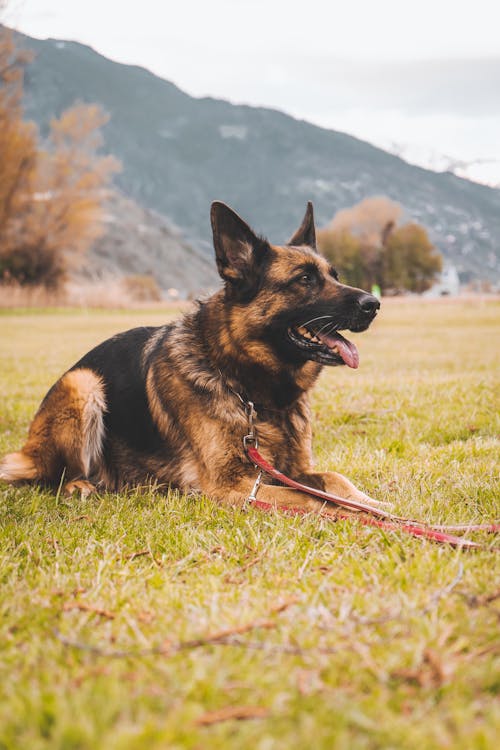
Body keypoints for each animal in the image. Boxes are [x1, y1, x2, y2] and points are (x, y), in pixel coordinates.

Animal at [0, 203, 380, 516]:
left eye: (334, 276)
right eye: (304, 279)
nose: (373, 304)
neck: (247, 388)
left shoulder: (292, 471)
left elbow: (337, 480)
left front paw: (374, 503)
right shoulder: (234, 485)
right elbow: (313, 499)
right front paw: (362, 517)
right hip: (83, 382)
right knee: (55, 476)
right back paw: (80, 485)